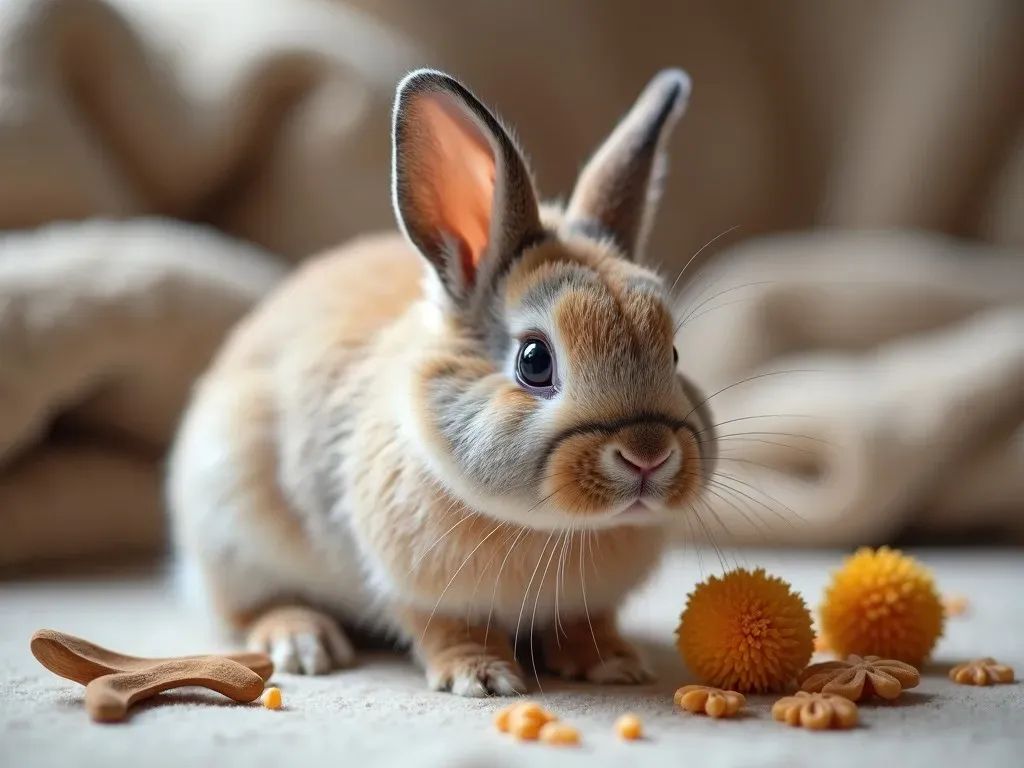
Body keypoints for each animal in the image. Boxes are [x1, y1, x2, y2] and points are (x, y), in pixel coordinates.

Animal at [163, 66, 716, 696]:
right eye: (534, 360)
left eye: (673, 352)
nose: (648, 455)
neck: (557, 528)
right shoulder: (418, 591)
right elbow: (447, 628)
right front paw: (483, 677)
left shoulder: (583, 605)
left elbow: (583, 624)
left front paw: (617, 665)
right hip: (233, 531)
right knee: (248, 609)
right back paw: (303, 642)